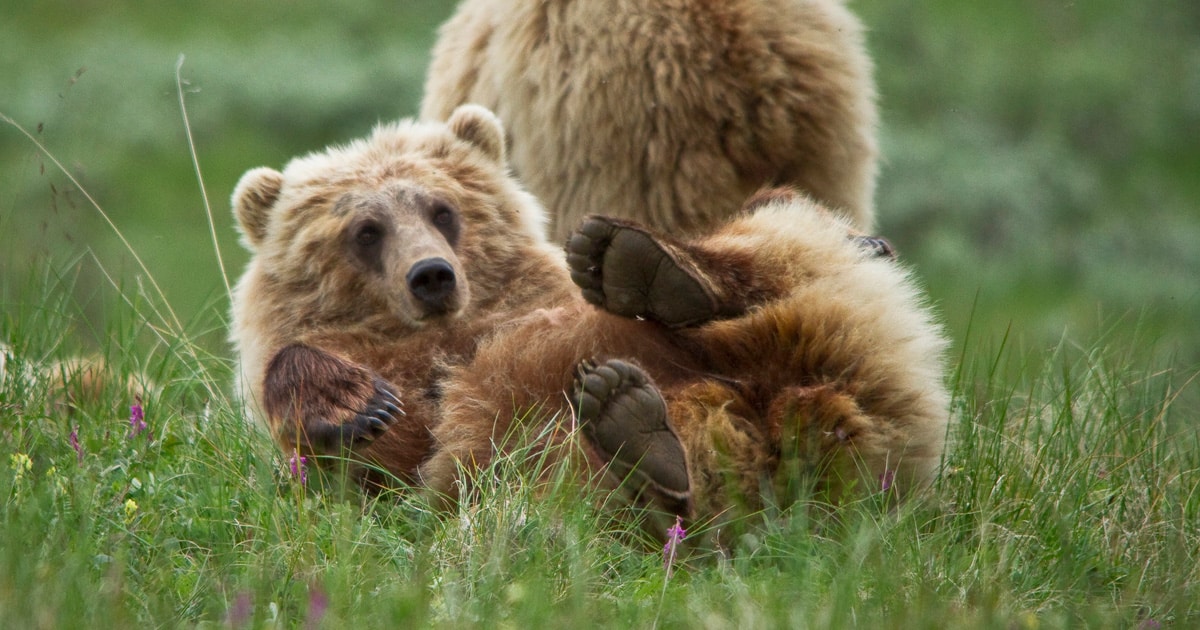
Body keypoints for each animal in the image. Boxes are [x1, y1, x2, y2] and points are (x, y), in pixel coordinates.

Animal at [229, 104, 950, 540]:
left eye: (442, 209)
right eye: (365, 230)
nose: (432, 275)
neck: (450, 336)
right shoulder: (417, 432)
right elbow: (381, 448)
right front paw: (354, 403)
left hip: (800, 283)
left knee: (770, 231)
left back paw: (649, 267)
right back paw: (639, 431)